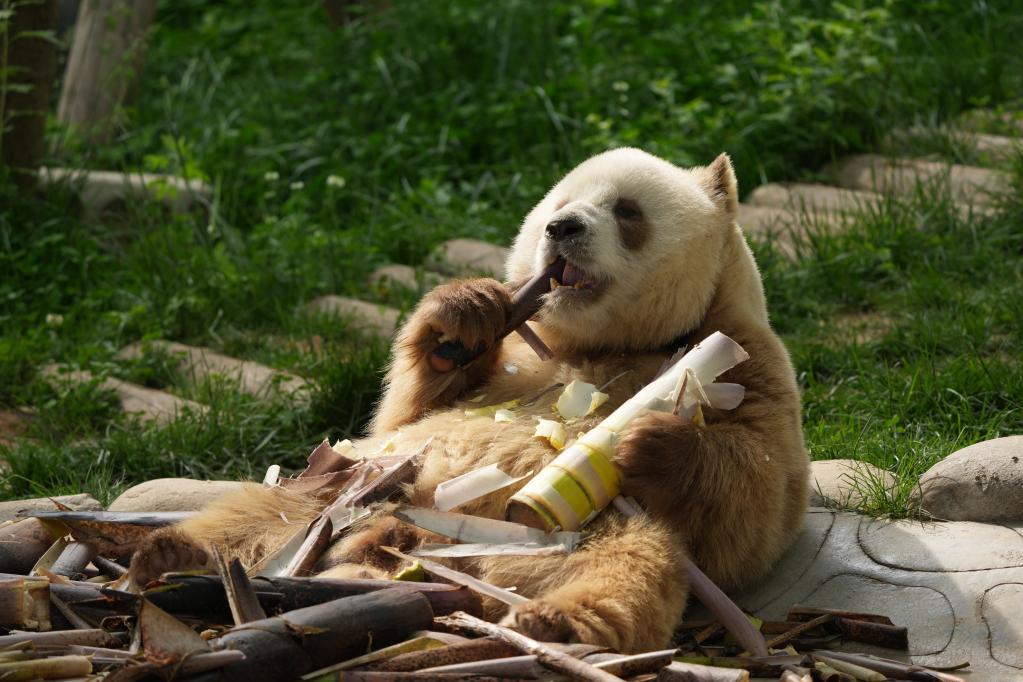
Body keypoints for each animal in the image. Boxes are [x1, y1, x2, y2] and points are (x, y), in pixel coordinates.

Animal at [134, 150, 806, 654]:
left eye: (626, 210)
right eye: (556, 207)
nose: (563, 229)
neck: (599, 342)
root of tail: (430, 549)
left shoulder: (745, 356)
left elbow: (759, 512)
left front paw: (650, 441)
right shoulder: (517, 353)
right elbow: (405, 409)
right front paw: (463, 315)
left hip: (577, 529)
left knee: (624, 568)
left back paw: (554, 622)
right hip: (349, 489)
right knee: (257, 515)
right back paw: (172, 553)